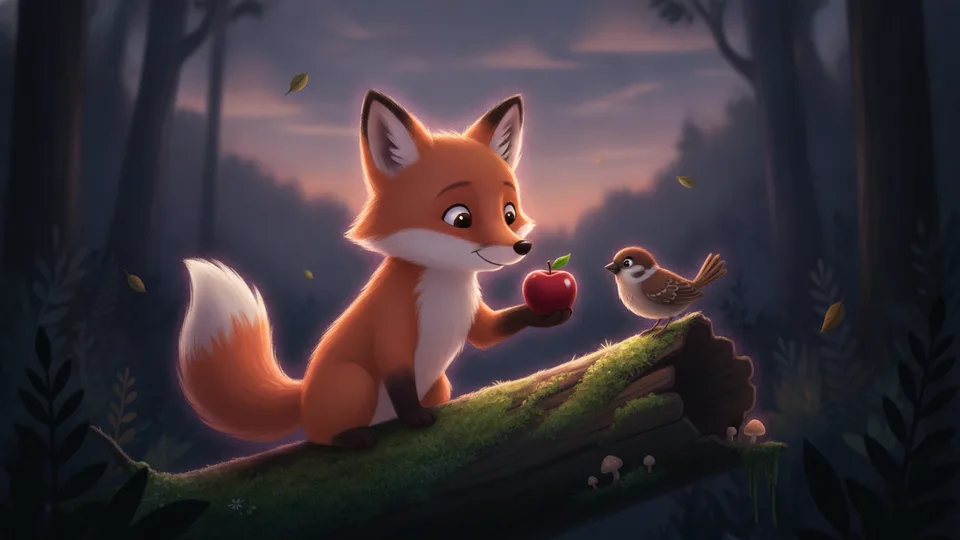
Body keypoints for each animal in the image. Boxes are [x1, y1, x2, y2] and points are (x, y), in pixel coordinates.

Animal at [177, 90, 573, 450]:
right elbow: (399, 379)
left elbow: (495, 330)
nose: (521, 247)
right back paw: (352, 436)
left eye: (509, 213)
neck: (447, 286)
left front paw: (549, 316)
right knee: (322, 435)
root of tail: (303, 395)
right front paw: (414, 419)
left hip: (439, 384)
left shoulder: (474, 319)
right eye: (460, 218)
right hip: (354, 383)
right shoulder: (392, 328)